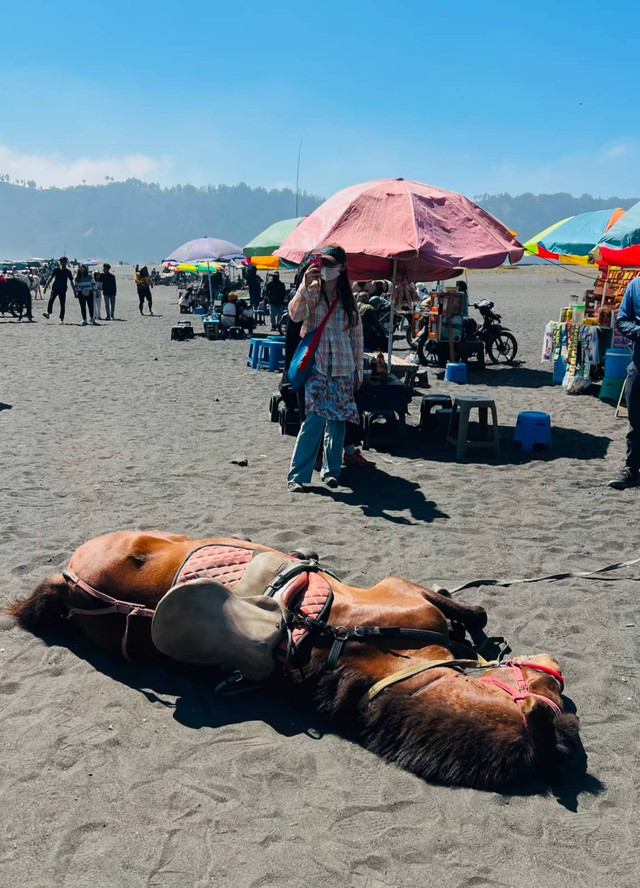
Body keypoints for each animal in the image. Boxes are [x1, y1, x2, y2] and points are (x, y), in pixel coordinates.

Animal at [6, 532, 584, 788]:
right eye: (552, 693)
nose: (558, 670)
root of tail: (71, 585)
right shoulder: (404, 590)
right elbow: (470, 608)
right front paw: (476, 631)